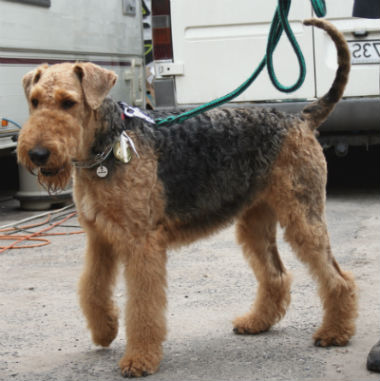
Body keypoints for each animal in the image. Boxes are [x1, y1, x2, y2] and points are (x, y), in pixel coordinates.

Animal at [17, 19, 356, 376]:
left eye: (68, 102)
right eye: (35, 101)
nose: (37, 154)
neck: (106, 148)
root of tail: (300, 118)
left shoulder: (141, 243)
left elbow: (142, 305)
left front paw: (139, 359)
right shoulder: (100, 238)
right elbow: (92, 288)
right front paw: (104, 330)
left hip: (302, 216)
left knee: (338, 277)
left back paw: (335, 332)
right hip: (255, 221)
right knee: (276, 274)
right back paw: (257, 322)